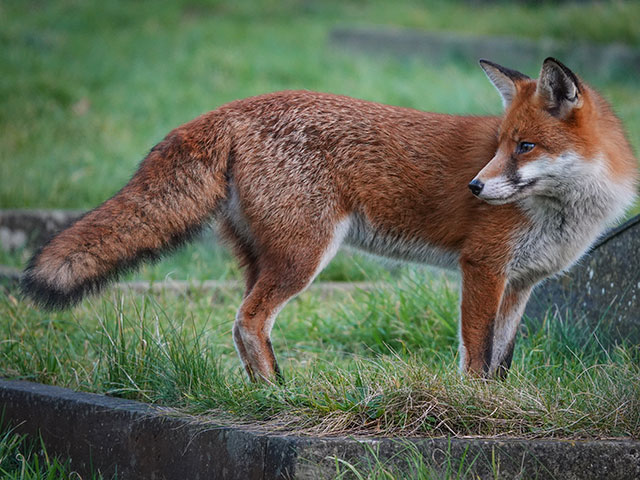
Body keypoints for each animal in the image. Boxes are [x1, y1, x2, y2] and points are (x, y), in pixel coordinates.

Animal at [20, 59, 636, 382]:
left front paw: (500, 403)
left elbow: (501, 358)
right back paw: (278, 393)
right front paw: (473, 406)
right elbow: (476, 355)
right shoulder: (482, 268)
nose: (476, 188)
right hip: (303, 257)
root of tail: (230, 109)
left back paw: (261, 392)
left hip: (263, 258)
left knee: (244, 323)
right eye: (501, 144)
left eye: (524, 146)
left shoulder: (522, 282)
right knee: (247, 322)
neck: (567, 211)